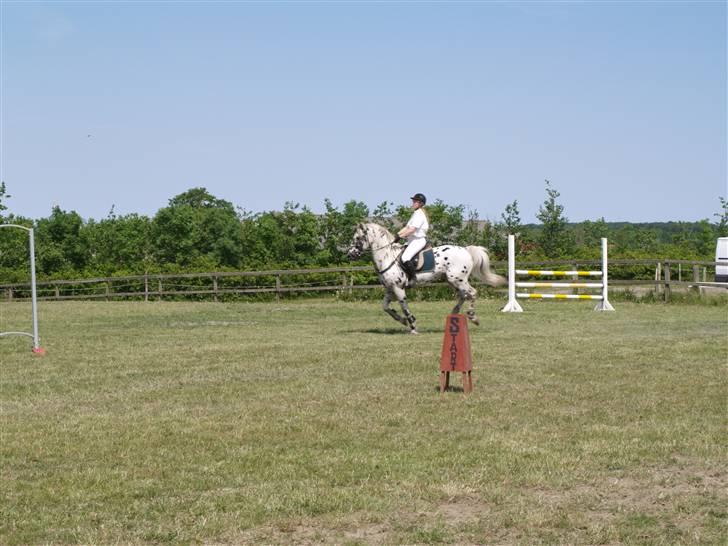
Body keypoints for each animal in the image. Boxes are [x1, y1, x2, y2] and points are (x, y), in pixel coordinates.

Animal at [346, 221, 506, 332]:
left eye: (358, 238)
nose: (350, 254)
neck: (387, 257)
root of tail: (465, 250)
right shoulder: (390, 289)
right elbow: (386, 307)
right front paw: (402, 321)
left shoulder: (398, 288)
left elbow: (404, 306)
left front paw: (413, 326)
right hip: (453, 281)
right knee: (463, 295)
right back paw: (454, 313)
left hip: (458, 279)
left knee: (472, 293)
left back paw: (473, 317)